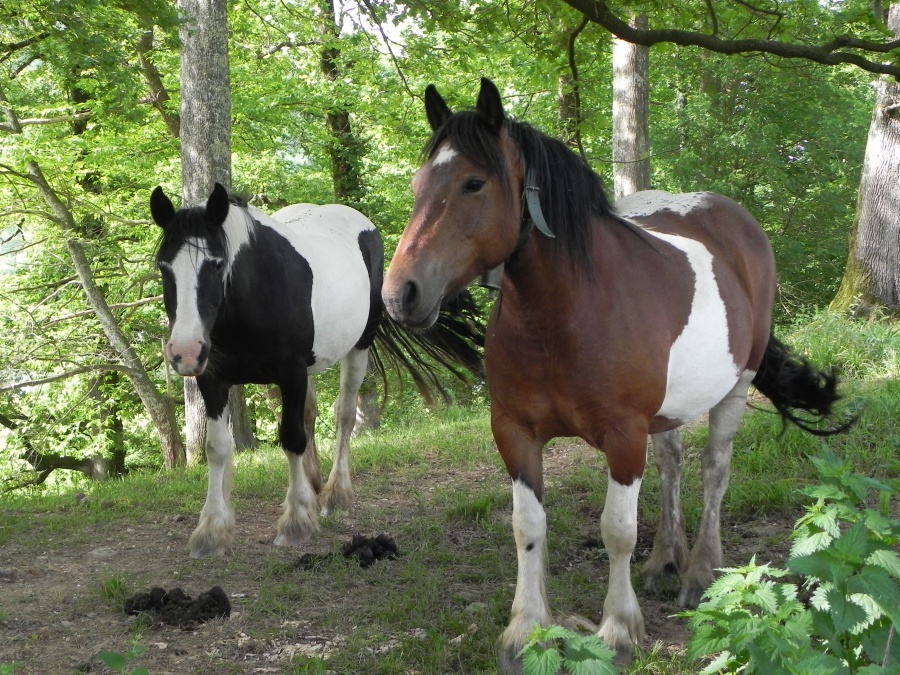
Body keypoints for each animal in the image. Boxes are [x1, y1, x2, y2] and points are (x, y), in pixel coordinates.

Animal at [151, 182, 482, 556]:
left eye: (217, 264)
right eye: (164, 266)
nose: (184, 351)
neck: (252, 296)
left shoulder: (290, 373)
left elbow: (291, 438)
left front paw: (296, 521)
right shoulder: (212, 378)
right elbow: (217, 448)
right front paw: (211, 531)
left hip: (358, 347)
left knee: (345, 415)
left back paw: (336, 494)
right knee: (310, 413)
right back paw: (314, 484)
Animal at [384, 79, 848, 672]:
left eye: (473, 183)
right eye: (419, 185)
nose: (400, 293)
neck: (564, 316)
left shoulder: (624, 436)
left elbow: (617, 530)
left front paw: (618, 629)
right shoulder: (514, 433)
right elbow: (527, 527)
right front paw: (524, 630)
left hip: (734, 388)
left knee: (713, 471)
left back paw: (699, 570)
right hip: (668, 411)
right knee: (672, 465)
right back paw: (664, 561)